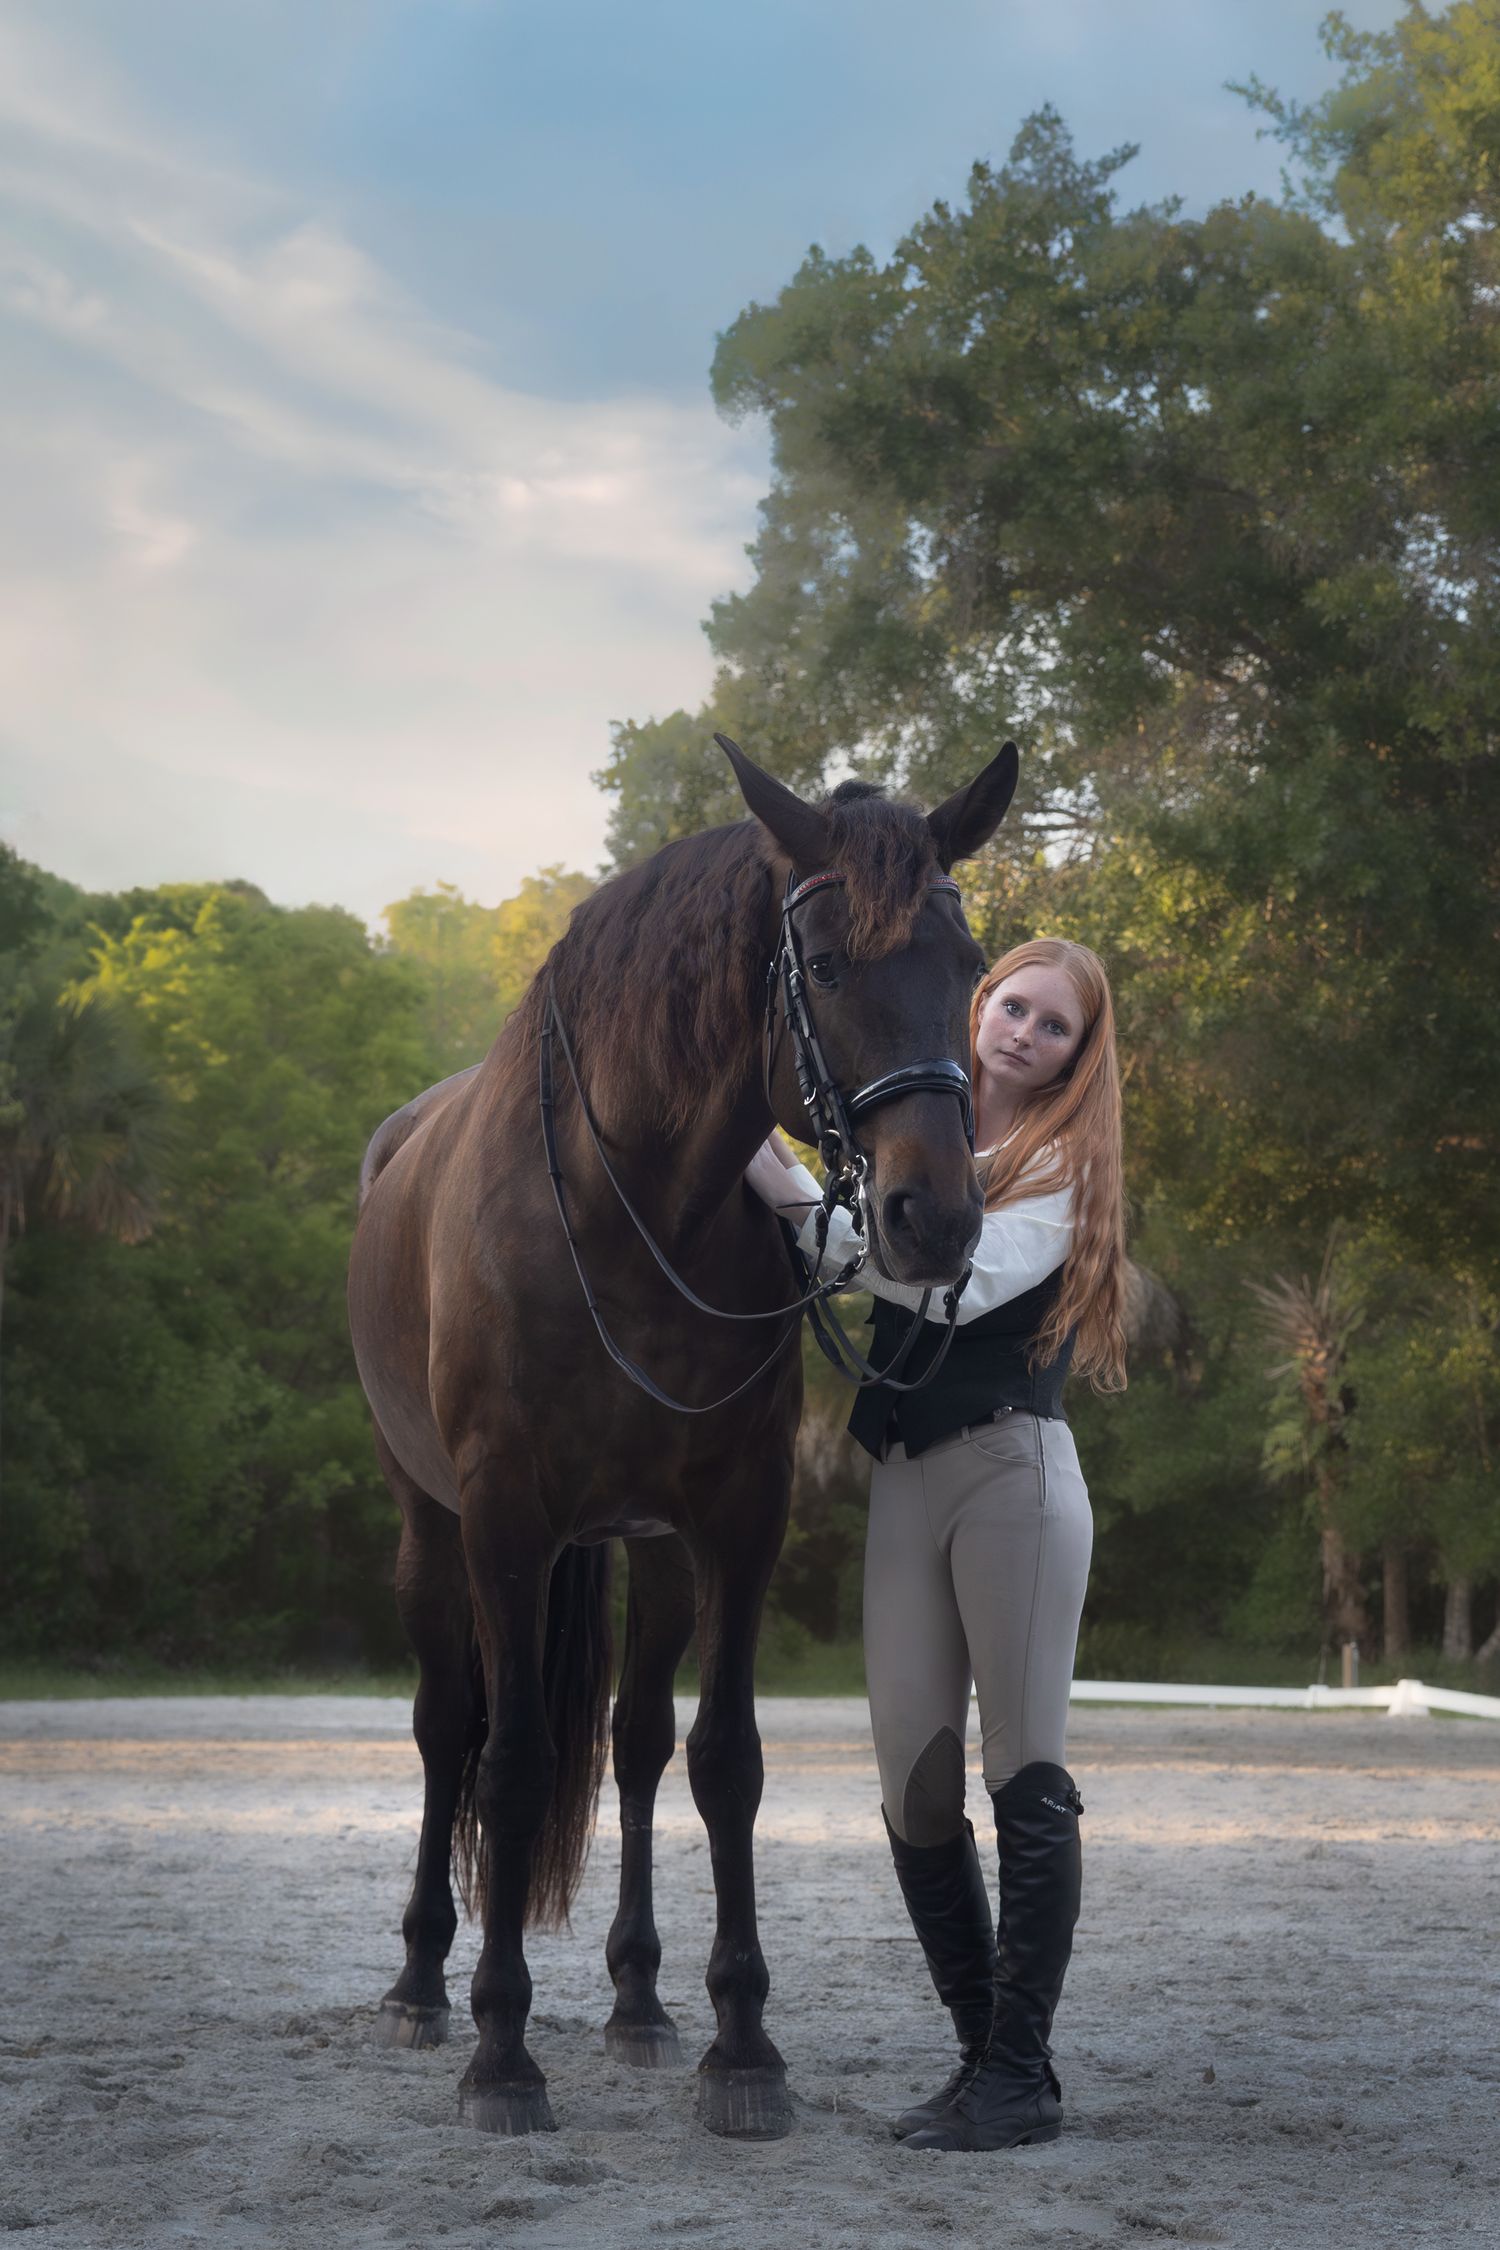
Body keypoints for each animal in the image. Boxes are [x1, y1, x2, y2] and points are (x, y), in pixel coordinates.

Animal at [347, 735, 1018, 2139]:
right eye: (828, 966)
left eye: (971, 964)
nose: (934, 1219)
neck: (629, 1209)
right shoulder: (504, 1518)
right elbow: (512, 1760)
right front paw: (503, 2053)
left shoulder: (736, 1517)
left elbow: (725, 1761)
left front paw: (741, 2044)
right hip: (432, 1529)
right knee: (448, 1726)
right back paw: (424, 1986)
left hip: (649, 1550)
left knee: (641, 1743)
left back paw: (641, 2002)